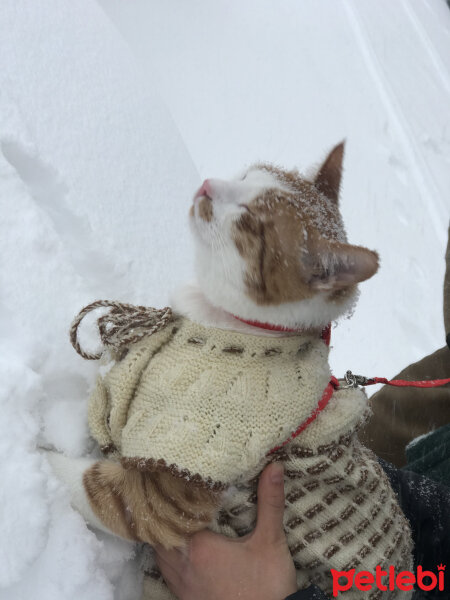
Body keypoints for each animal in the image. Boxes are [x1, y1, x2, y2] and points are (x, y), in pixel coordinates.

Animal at [45, 143, 412, 596]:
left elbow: (89, 483)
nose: (206, 184)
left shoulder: (173, 485)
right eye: (246, 175)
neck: (221, 321)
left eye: (251, 221)